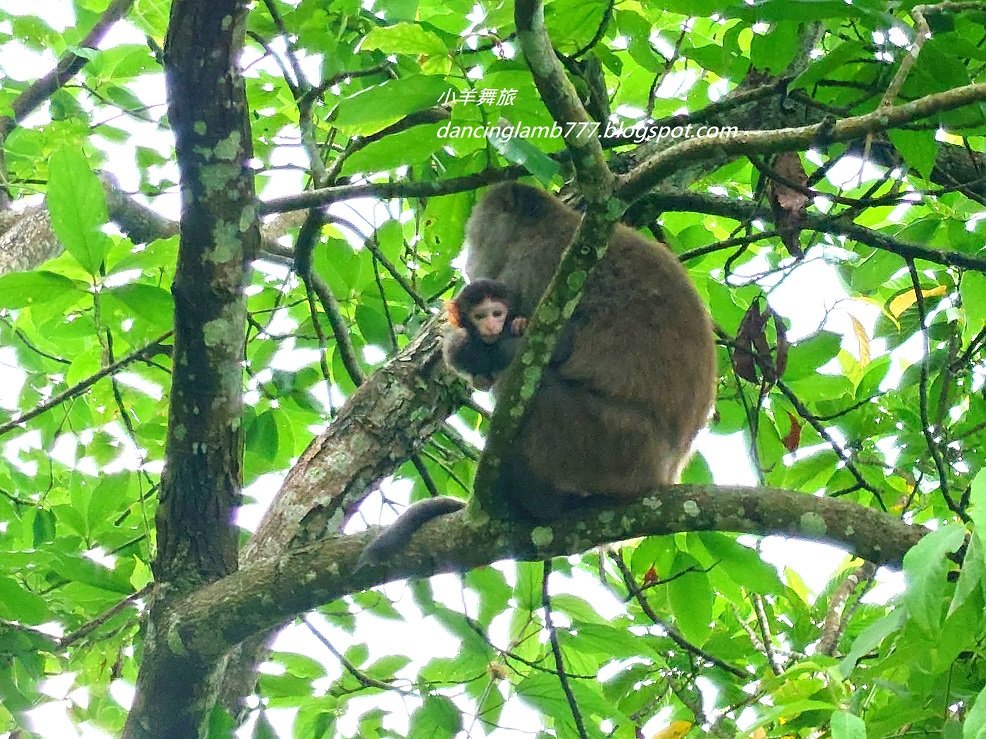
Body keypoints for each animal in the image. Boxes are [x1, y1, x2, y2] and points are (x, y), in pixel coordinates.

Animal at [358, 182, 712, 568]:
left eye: (475, 235)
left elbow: (555, 343)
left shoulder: (534, 265)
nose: (468, 259)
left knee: (530, 386)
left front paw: (466, 351)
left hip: (608, 441)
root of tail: (661, 474)